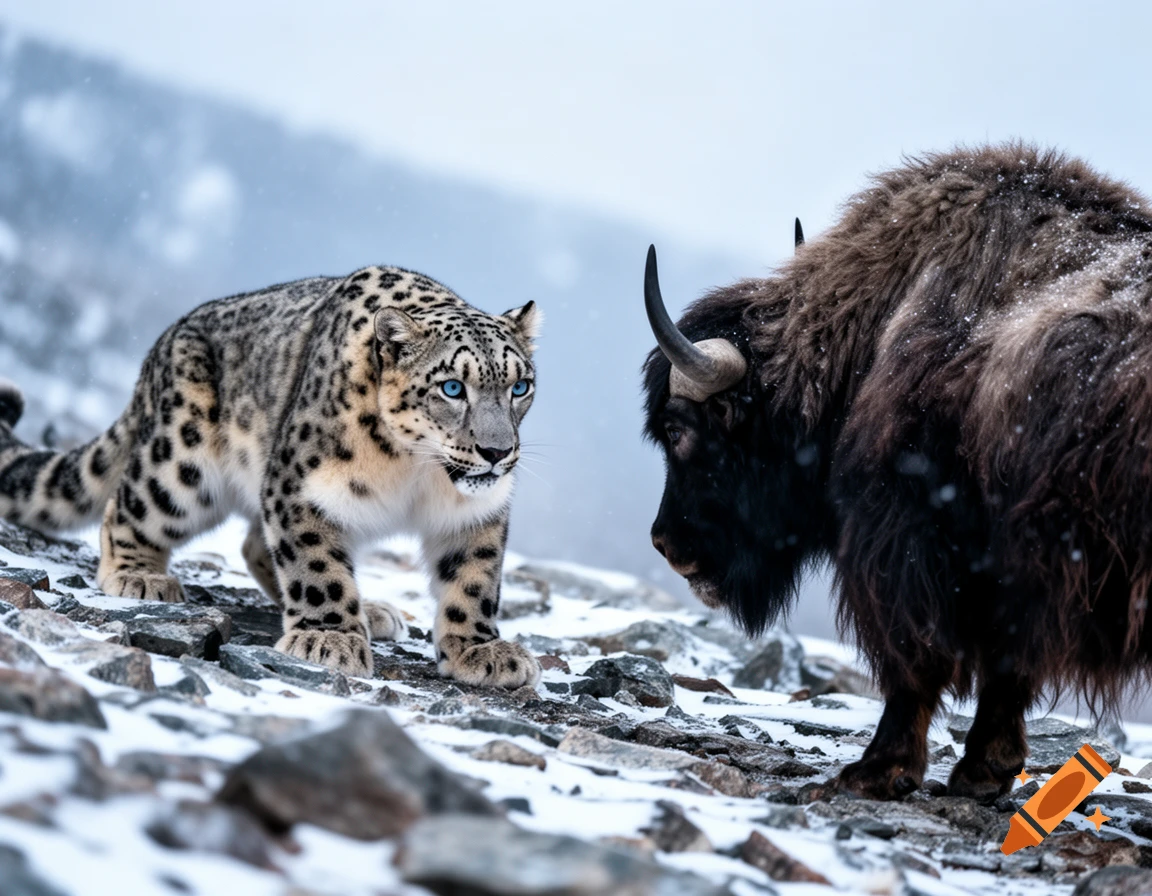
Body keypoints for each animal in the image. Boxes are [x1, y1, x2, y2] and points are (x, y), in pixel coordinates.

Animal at [0, 266, 542, 686]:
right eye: (452, 387)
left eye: (520, 386)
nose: (497, 452)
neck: (418, 472)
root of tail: (158, 350)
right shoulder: (303, 487)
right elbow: (316, 566)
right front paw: (329, 639)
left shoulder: (477, 512)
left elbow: (473, 578)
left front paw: (480, 650)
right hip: (181, 461)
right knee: (129, 505)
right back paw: (140, 576)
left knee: (257, 546)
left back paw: (369, 611)